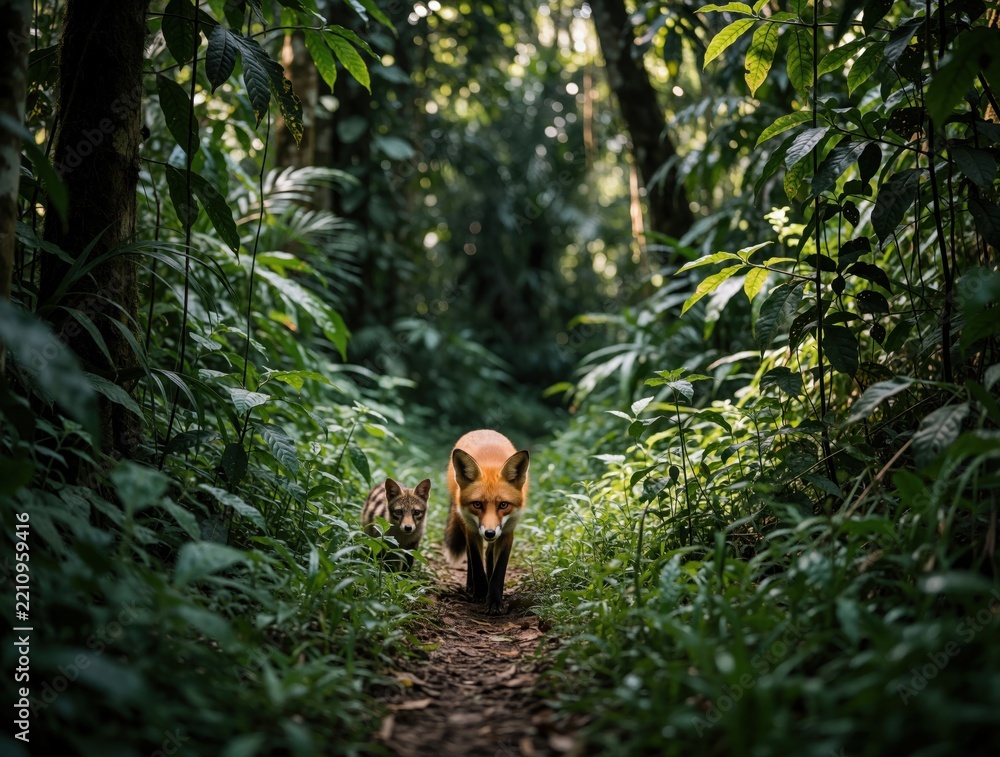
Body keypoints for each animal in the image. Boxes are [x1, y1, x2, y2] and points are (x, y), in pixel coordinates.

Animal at [444, 429, 529, 615]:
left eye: (503, 505)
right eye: (477, 504)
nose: (489, 533)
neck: (490, 464)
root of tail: (483, 430)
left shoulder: (507, 532)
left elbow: (499, 570)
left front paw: (495, 600)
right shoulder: (472, 530)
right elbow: (476, 562)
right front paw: (481, 592)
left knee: (489, 553)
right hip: (464, 522)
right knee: (471, 557)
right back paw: (472, 586)